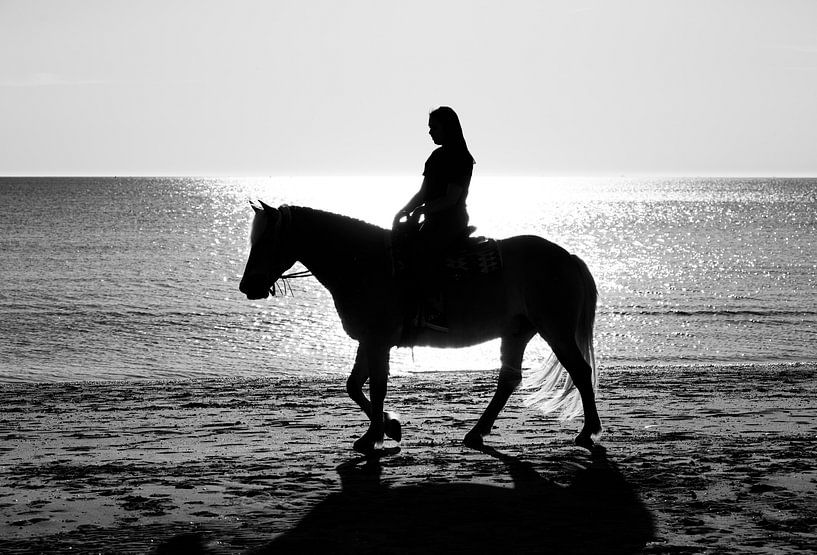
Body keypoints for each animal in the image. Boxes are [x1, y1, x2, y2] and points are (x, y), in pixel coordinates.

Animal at [236, 202, 600, 454]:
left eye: (266, 241)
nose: (247, 286)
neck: (362, 263)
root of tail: (567, 257)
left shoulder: (378, 340)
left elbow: (377, 387)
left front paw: (373, 436)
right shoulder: (368, 340)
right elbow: (354, 385)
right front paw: (389, 427)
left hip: (556, 329)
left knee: (580, 372)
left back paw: (588, 431)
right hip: (517, 332)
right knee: (508, 381)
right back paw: (477, 432)